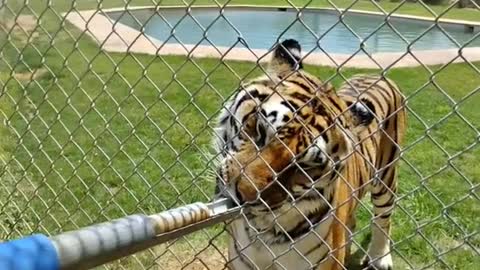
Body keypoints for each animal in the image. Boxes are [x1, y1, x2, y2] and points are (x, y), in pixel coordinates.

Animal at [214, 38, 404, 270]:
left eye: (304, 166)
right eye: (260, 128)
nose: (243, 197)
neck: (261, 231)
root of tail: (376, 74)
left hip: (386, 176)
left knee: (384, 217)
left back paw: (380, 258)